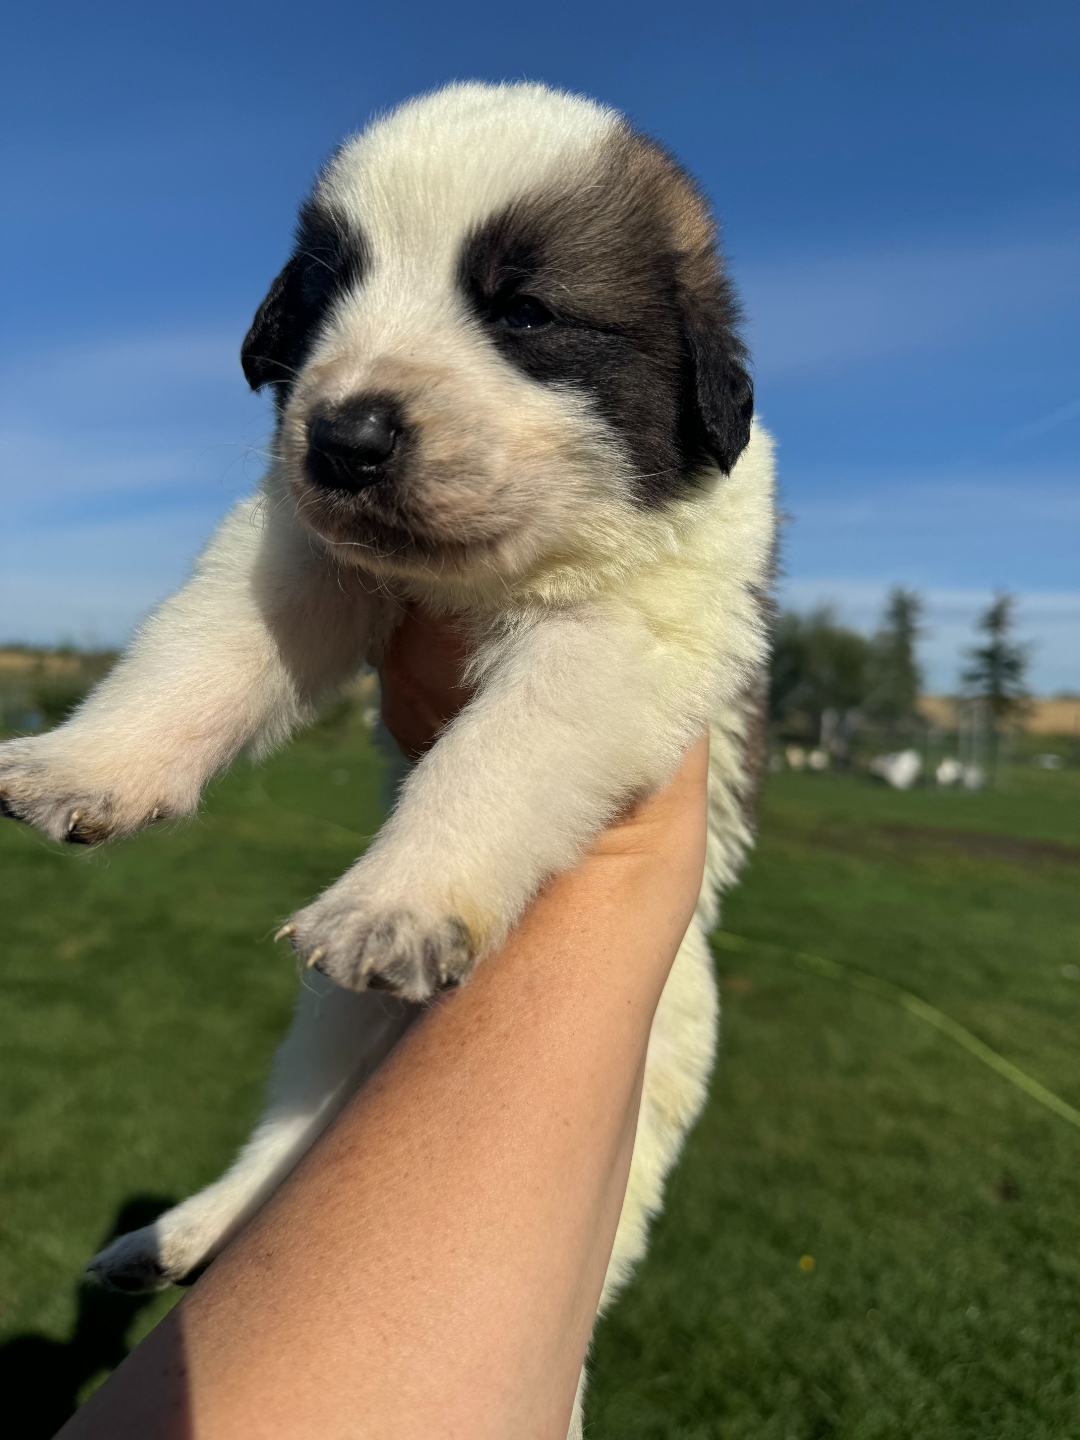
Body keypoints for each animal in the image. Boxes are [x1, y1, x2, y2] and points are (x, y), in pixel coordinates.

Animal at [0, 82, 776, 1433]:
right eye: (326, 297)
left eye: (523, 311)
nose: (346, 437)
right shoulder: (294, 555)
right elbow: (197, 652)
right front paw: (89, 762)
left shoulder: (623, 639)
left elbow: (497, 754)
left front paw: (400, 898)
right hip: (323, 1031)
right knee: (276, 1153)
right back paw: (171, 1241)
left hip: (638, 1123)